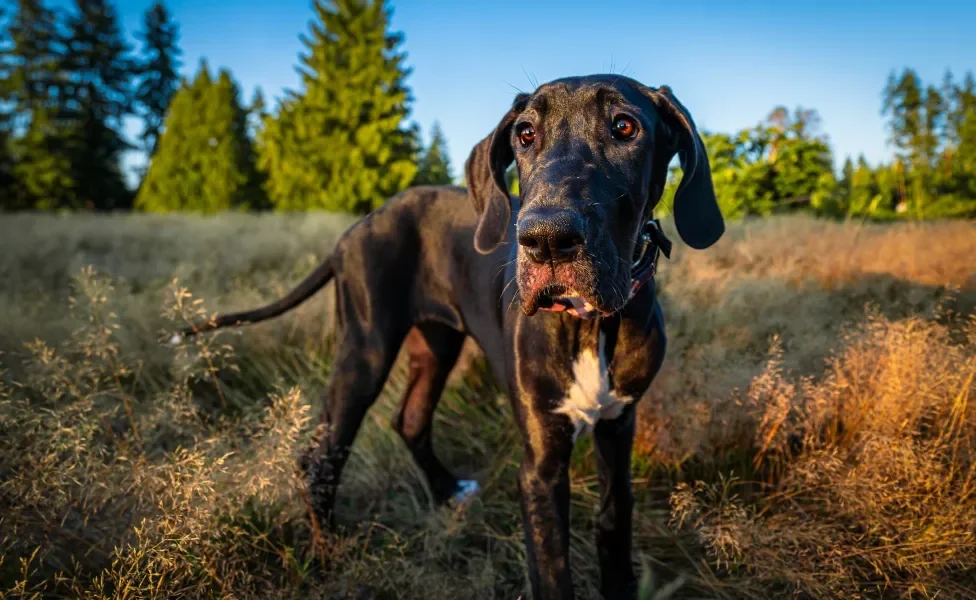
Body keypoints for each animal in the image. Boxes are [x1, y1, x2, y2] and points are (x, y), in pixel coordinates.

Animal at [175, 76, 724, 600]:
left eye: (625, 127)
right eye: (526, 134)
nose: (546, 239)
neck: (589, 321)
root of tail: (355, 228)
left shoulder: (618, 424)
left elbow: (614, 520)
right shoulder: (540, 463)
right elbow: (551, 572)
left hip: (436, 346)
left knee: (410, 420)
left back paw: (444, 491)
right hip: (364, 351)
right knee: (321, 456)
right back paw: (328, 550)